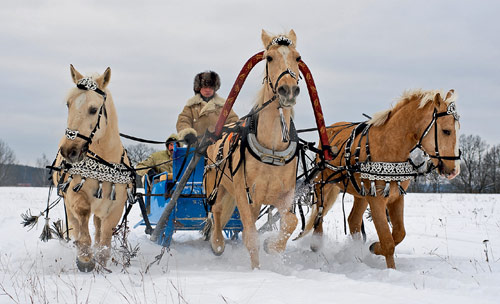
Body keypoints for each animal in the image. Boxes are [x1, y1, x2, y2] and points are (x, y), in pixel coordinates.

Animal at [53, 65, 133, 272]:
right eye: (68, 104)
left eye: (93, 109)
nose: (69, 151)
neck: (102, 163)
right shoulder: (75, 197)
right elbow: (82, 221)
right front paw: (85, 258)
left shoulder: (115, 208)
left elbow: (104, 240)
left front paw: (102, 265)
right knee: (74, 224)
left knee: (97, 227)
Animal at [202, 30, 300, 268]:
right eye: (269, 58)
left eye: (298, 58)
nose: (288, 90)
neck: (271, 149)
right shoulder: (244, 195)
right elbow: (250, 236)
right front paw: (257, 269)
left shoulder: (285, 195)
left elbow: (290, 222)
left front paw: (272, 246)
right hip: (216, 185)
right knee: (216, 211)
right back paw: (217, 243)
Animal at [300, 88, 460, 268]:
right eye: (446, 131)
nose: (454, 170)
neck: (389, 146)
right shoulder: (376, 198)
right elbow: (388, 241)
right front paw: (390, 267)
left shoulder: (396, 196)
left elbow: (399, 234)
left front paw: (375, 247)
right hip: (323, 182)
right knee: (319, 212)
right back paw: (316, 243)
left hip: (360, 193)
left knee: (353, 220)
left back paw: (356, 253)